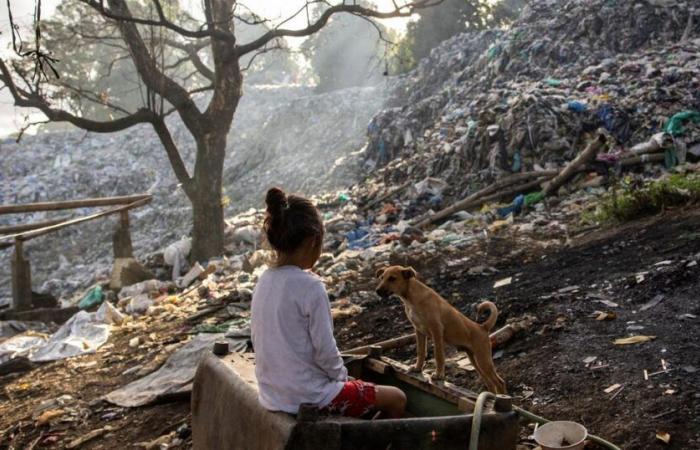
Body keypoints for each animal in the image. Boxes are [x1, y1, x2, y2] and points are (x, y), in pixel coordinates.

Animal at [374, 264, 506, 394]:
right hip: (474, 360)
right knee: (490, 383)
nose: (377, 291)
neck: (411, 298)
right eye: (381, 278)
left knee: (499, 382)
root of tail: (482, 327)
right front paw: (417, 368)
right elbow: (421, 352)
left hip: (483, 359)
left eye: (392, 278)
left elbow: (438, 355)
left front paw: (439, 375)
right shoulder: (419, 330)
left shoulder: (436, 329)